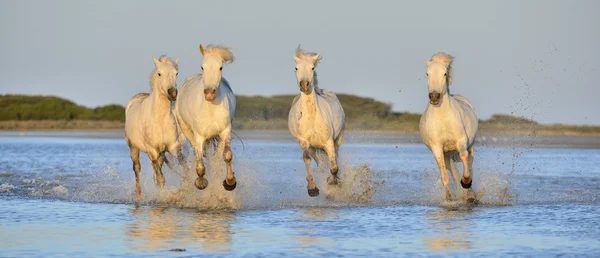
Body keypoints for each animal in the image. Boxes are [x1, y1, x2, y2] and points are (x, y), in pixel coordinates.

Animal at [125, 56, 185, 202]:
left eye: (176, 73)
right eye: (159, 73)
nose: (172, 93)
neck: (159, 119)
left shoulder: (173, 147)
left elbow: (184, 166)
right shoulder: (152, 150)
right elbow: (161, 179)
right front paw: (162, 197)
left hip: (160, 154)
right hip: (134, 148)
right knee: (137, 169)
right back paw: (138, 196)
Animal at [173, 43, 237, 190]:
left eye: (221, 67)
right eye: (202, 67)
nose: (209, 93)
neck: (210, 109)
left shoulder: (225, 131)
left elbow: (227, 156)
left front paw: (230, 182)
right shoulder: (199, 136)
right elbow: (200, 165)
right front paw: (201, 183)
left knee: (217, 157)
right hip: (188, 131)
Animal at [288, 45, 344, 197]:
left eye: (312, 68)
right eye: (296, 68)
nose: (304, 84)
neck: (311, 118)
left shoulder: (329, 141)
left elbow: (334, 166)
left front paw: (333, 181)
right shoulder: (304, 143)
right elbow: (307, 160)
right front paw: (312, 189)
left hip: (338, 139)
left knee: (333, 159)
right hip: (314, 148)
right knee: (320, 163)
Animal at [420, 52, 480, 202]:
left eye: (445, 73)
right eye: (427, 73)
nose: (434, 97)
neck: (443, 118)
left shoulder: (461, 141)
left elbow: (464, 158)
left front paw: (466, 182)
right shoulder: (437, 148)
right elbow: (445, 176)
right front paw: (449, 198)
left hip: (471, 146)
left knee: (470, 163)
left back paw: (470, 193)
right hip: (447, 154)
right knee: (451, 170)